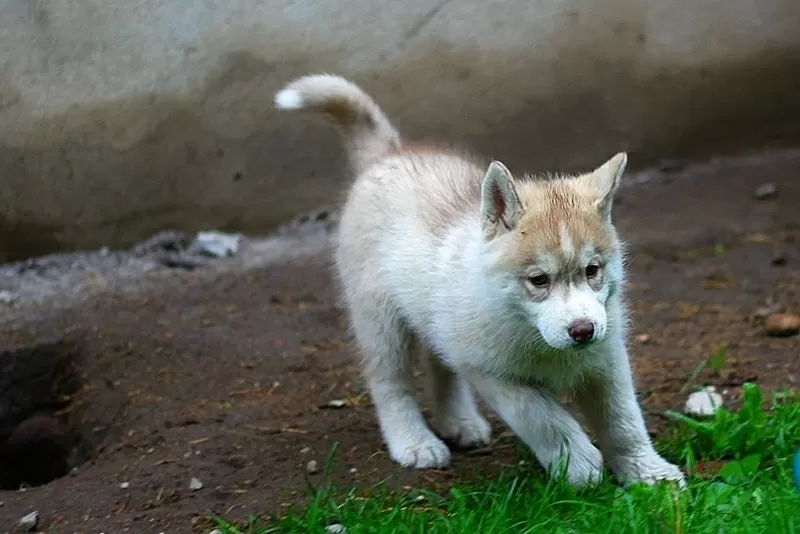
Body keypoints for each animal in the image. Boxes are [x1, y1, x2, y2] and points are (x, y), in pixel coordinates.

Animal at [278, 75, 684, 490]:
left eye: (592, 270)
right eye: (538, 279)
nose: (582, 330)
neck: (533, 334)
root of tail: (390, 154)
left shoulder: (607, 360)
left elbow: (624, 421)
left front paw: (648, 472)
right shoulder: (491, 372)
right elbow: (543, 417)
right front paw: (579, 463)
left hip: (437, 318)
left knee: (440, 364)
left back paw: (458, 422)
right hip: (381, 321)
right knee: (390, 382)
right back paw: (413, 440)